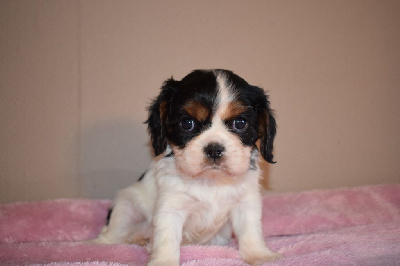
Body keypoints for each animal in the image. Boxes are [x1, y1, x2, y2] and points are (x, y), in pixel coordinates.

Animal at [95, 69, 280, 264]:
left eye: (240, 123)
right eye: (187, 123)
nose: (214, 149)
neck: (210, 182)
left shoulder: (245, 204)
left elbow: (250, 231)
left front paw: (260, 255)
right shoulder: (170, 207)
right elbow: (166, 238)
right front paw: (163, 261)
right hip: (126, 207)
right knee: (113, 233)